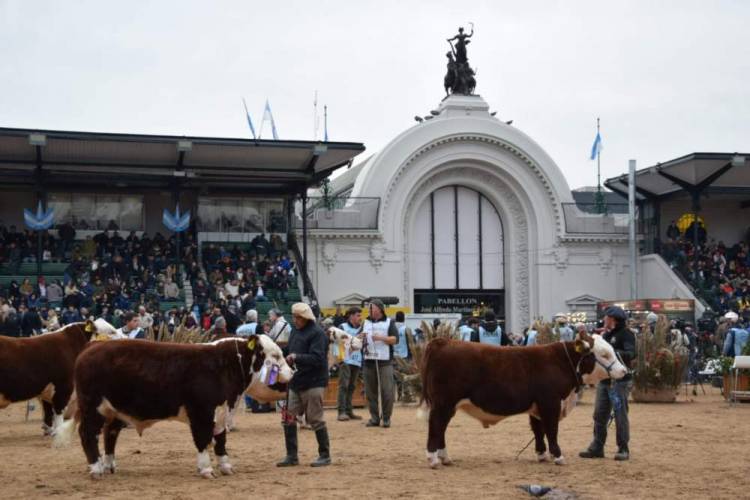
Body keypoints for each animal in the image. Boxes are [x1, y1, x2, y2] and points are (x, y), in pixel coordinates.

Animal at [55, 334, 294, 478]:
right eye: (275, 355)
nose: (293, 373)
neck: (225, 366)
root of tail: (94, 345)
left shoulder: (221, 411)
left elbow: (220, 441)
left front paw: (226, 466)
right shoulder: (200, 412)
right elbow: (202, 440)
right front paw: (206, 469)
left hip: (113, 411)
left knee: (109, 434)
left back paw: (109, 465)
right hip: (92, 407)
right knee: (87, 434)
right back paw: (96, 469)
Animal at [424, 332, 628, 468]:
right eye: (604, 354)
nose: (624, 371)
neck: (561, 362)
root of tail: (442, 341)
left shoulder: (537, 406)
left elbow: (538, 430)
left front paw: (542, 455)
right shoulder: (551, 403)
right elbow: (552, 430)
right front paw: (558, 456)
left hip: (447, 405)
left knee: (441, 428)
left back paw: (445, 458)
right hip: (443, 403)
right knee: (436, 425)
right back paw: (433, 459)